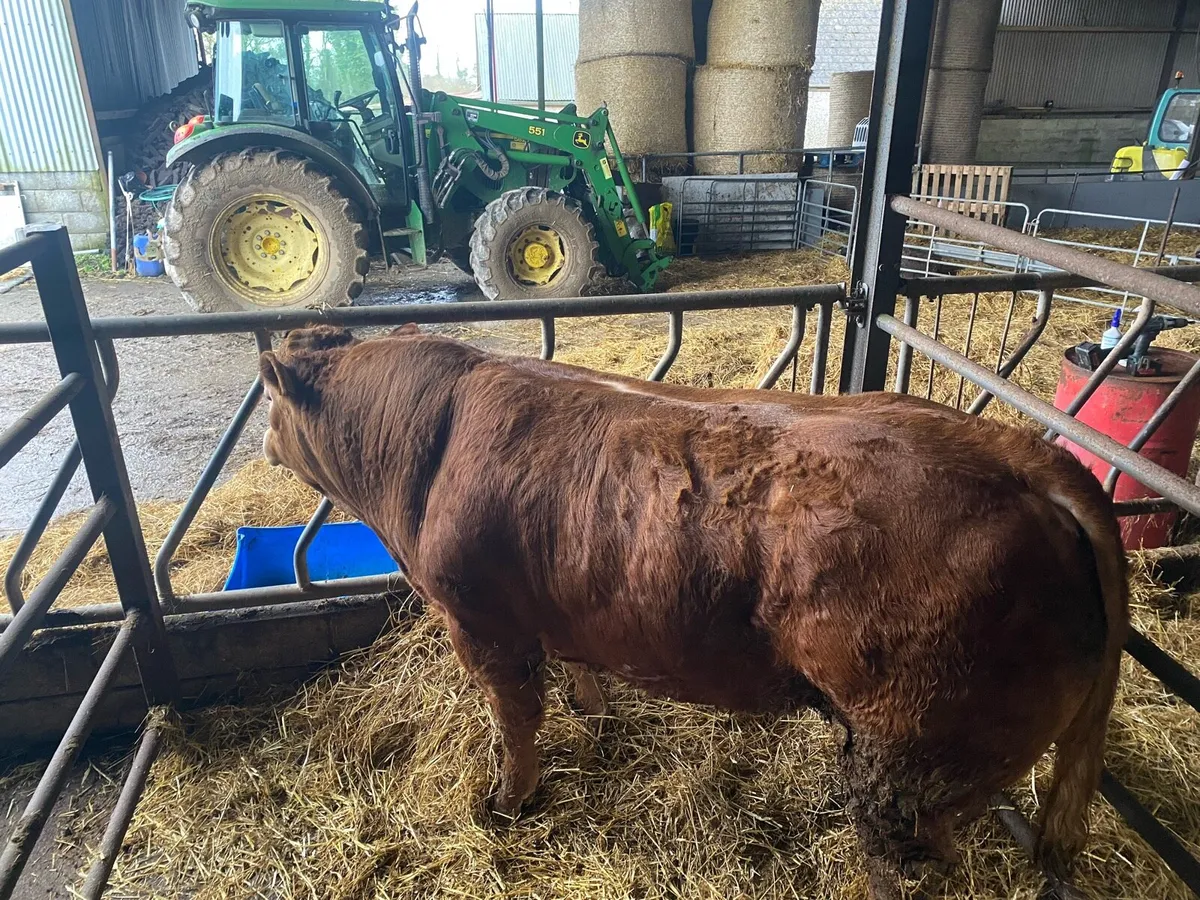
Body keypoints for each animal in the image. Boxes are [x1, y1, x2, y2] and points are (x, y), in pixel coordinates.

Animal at [259, 324, 1128, 899]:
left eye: (268, 407)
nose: (264, 445)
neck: (427, 443)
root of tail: (1026, 458)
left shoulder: (481, 624)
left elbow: (516, 722)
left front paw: (509, 801)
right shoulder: (558, 607)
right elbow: (578, 678)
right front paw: (596, 718)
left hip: (914, 755)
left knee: (903, 863)